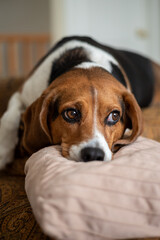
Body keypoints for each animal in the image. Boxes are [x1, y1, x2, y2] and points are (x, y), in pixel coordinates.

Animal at [0, 35, 160, 169]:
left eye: (114, 116)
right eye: (71, 113)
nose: (94, 154)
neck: (84, 61)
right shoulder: (20, 95)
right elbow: (8, 118)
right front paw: (3, 151)